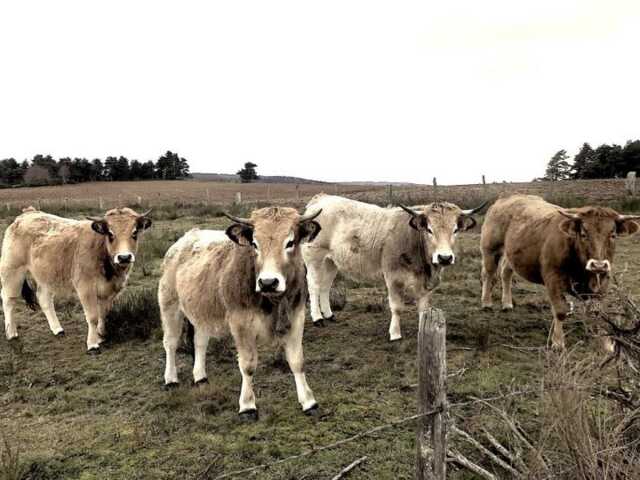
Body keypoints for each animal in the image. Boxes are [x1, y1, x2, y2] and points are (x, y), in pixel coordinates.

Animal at [0, 206, 152, 352]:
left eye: (134, 233)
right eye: (110, 234)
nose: (124, 257)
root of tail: (28, 213)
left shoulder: (109, 290)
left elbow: (103, 314)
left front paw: (101, 336)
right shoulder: (85, 288)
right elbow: (93, 317)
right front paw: (93, 344)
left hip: (46, 276)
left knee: (44, 299)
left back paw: (57, 329)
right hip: (12, 271)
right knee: (8, 299)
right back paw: (11, 333)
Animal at [158, 206, 322, 420]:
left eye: (290, 242)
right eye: (254, 243)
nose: (268, 282)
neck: (272, 301)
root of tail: (184, 239)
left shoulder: (296, 317)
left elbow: (297, 361)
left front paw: (308, 401)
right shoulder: (241, 324)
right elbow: (248, 365)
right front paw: (247, 405)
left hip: (202, 313)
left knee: (200, 342)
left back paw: (200, 376)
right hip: (170, 305)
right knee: (170, 343)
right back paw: (171, 379)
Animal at [300, 195, 484, 342]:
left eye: (455, 230)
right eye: (429, 229)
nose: (444, 257)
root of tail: (321, 199)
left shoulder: (425, 284)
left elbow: (423, 308)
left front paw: (422, 330)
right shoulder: (394, 277)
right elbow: (397, 307)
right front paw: (395, 334)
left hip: (331, 262)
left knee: (325, 286)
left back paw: (329, 315)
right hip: (314, 258)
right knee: (314, 286)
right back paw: (318, 318)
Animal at [480, 194, 640, 348]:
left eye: (613, 235)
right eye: (583, 234)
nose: (598, 265)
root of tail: (506, 198)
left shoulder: (602, 282)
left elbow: (598, 313)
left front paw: (605, 344)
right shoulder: (553, 278)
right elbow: (560, 310)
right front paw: (557, 342)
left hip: (511, 254)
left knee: (505, 273)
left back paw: (507, 303)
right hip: (490, 250)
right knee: (488, 274)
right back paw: (486, 302)